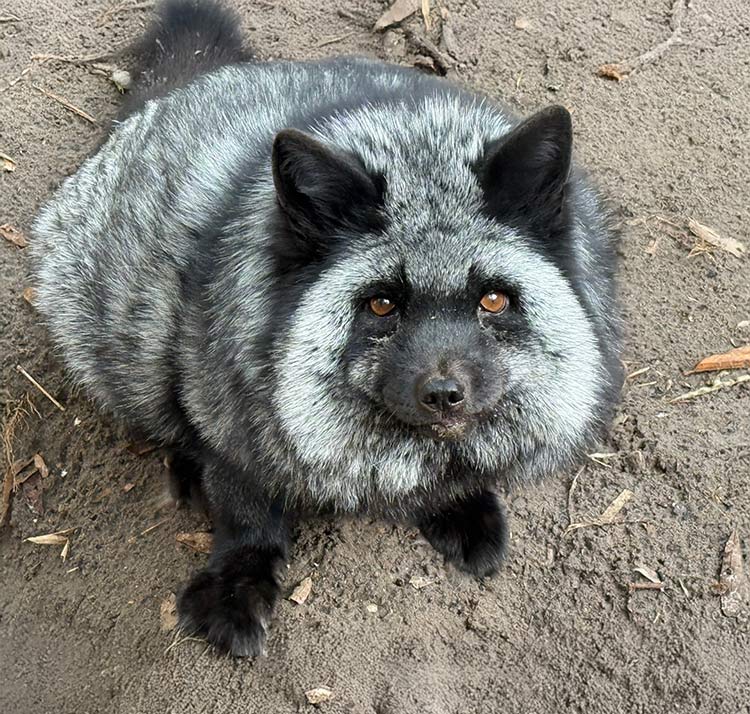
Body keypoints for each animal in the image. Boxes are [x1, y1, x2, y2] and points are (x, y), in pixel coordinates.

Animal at [31, 0, 623, 656]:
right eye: (382, 305)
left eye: (492, 299)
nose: (444, 394)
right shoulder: (232, 422)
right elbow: (247, 515)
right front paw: (236, 588)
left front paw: (461, 506)